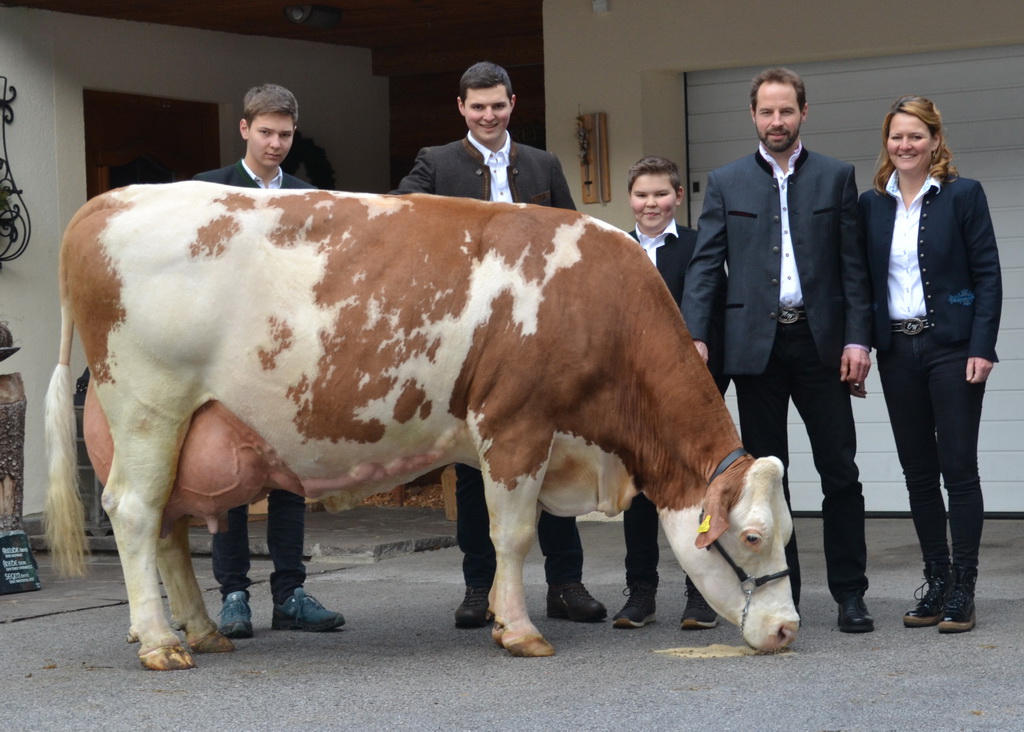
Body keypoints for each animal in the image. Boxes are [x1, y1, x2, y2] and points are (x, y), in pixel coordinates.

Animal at [46, 182, 798, 671]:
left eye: (790, 533)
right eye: (751, 536)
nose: (788, 629)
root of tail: (103, 203)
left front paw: (498, 617)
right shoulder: (515, 423)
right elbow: (513, 535)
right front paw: (520, 631)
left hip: (180, 432)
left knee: (170, 530)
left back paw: (202, 632)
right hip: (150, 407)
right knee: (136, 514)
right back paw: (160, 643)